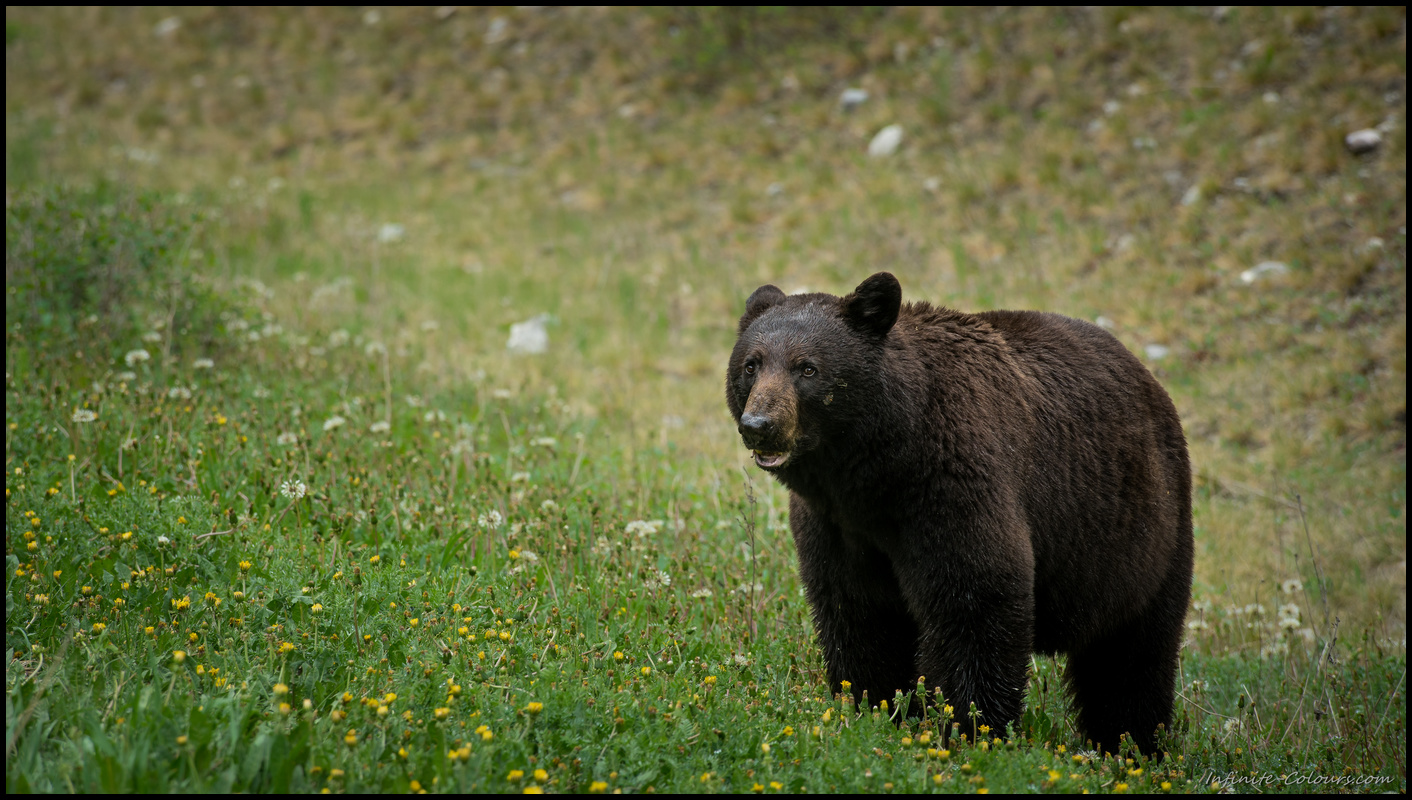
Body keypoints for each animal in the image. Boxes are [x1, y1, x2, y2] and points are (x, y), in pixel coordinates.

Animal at [728, 272, 1191, 756]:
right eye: (752, 365)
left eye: (808, 368)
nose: (759, 425)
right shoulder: (836, 524)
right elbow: (856, 611)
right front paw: (874, 706)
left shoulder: (953, 485)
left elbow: (975, 598)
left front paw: (968, 726)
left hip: (1142, 536)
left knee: (1133, 656)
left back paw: (1132, 742)